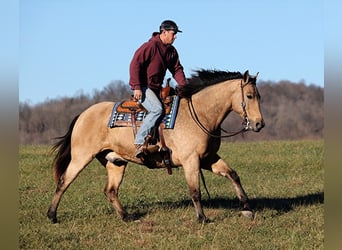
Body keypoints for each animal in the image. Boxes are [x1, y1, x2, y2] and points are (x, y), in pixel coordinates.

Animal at [46, 68, 264, 223]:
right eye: (250, 96)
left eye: (259, 96)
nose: (259, 124)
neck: (200, 114)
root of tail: (83, 114)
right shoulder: (191, 161)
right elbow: (195, 191)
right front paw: (202, 218)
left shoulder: (208, 158)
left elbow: (232, 174)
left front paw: (246, 207)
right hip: (81, 157)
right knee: (64, 181)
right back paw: (52, 215)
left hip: (116, 162)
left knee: (110, 190)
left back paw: (126, 217)